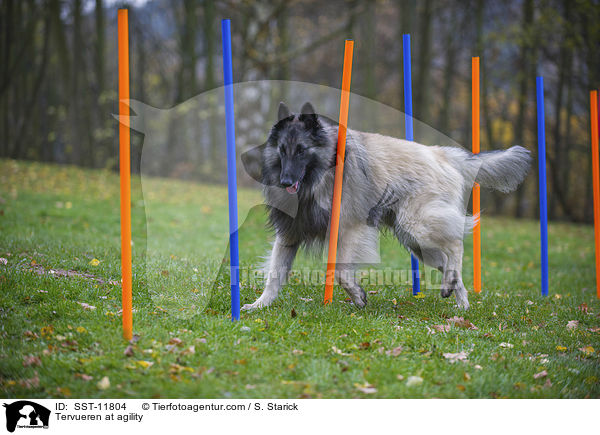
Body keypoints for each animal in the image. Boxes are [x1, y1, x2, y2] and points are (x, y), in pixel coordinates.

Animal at [239, 103, 528, 314]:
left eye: (301, 150)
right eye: (282, 150)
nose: (286, 181)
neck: (319, 177)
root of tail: (443, 154)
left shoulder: (350, 229)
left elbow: (341, 273)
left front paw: (358, 297)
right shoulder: (289, 234)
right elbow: (274, 275)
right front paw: (259, 305)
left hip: (417, 226)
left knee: (456, 245)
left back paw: (453, 289)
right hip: (417, 243)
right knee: (448, 261)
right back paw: (460, 301)